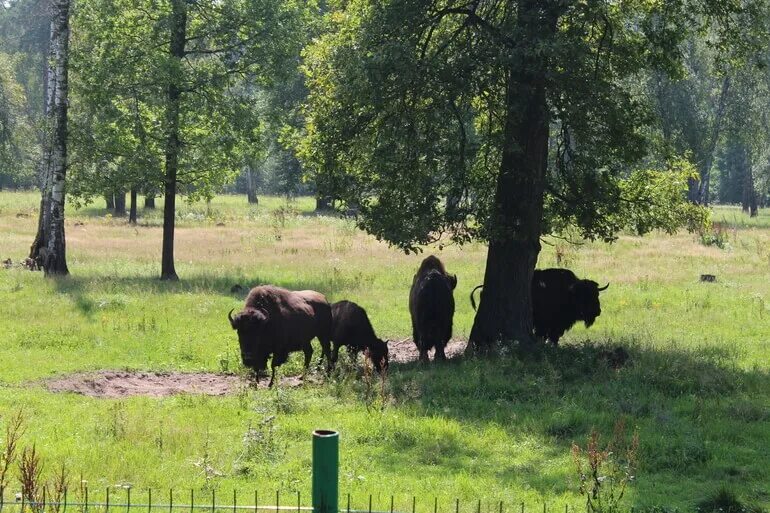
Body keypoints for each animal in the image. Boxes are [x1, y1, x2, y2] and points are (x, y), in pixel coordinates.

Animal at [468, 266, 608, 346]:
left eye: (597, 294)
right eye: (585, 296)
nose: (598, 311)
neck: (568, 292)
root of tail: (483, 287)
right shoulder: (546, 325)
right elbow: (547, 336)